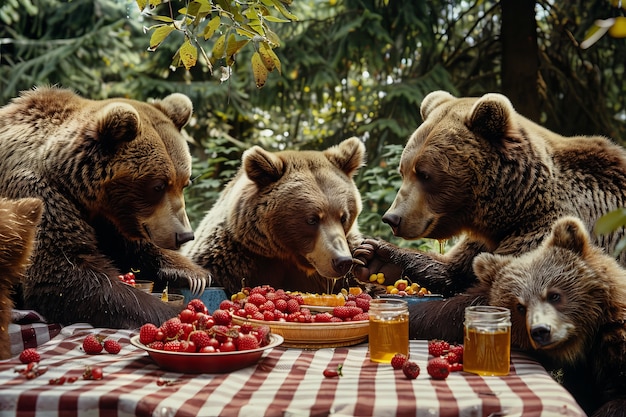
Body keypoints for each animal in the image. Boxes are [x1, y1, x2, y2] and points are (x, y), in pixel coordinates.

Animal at [0, 88, 210, 328]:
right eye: (158, 186)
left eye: (185, 183)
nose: (184, 235)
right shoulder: (35, 193)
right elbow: (63, 273)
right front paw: (178, 311)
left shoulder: (110, 216)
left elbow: (129, 247)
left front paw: (194, 274)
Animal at [348, 92, 624, 344]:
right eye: (403, 170)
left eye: (425, 174)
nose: (392, 218)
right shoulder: (488, 238)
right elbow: (455, 271)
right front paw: (376, 257)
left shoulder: (544, 231)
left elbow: (493, 299)